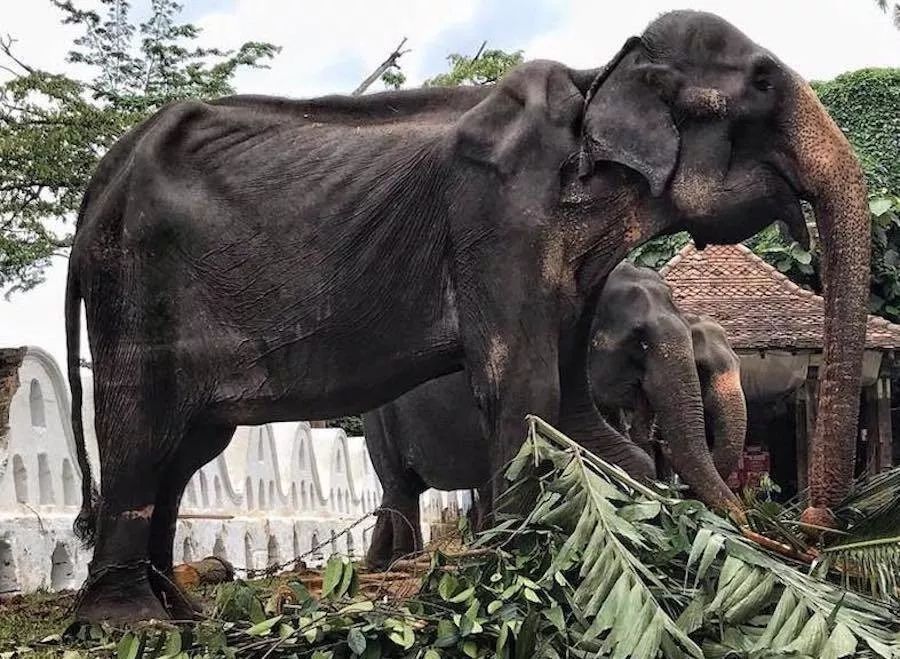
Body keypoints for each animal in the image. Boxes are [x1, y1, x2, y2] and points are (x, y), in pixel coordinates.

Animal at [362, 262, 748, 568]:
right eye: (639, 341)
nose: (746, 526)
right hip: (379, 421)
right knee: (401, 488)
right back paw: (405, 563)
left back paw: (382, 563)